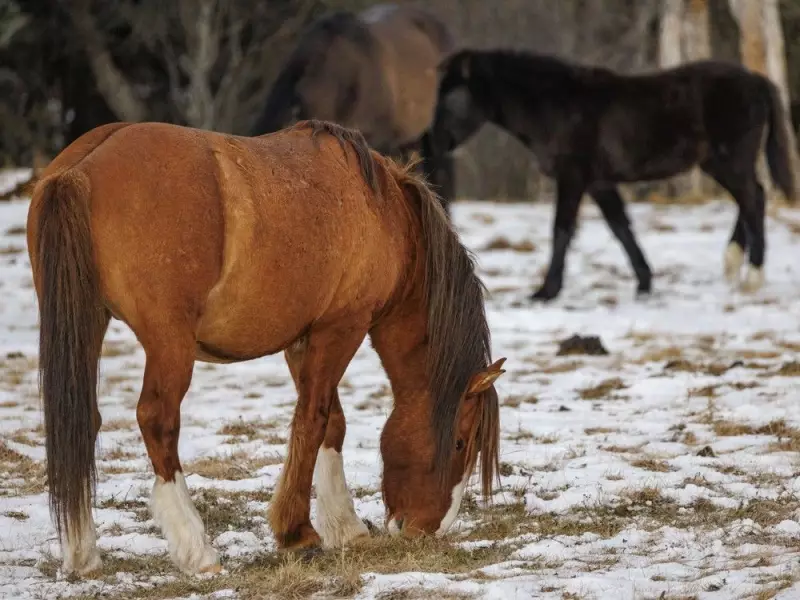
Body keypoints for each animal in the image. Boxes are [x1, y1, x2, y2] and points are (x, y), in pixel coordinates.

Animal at [27, 119, 504, 576]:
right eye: (460, 442)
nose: (427, 529)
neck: (381, 208)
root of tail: (79, 170)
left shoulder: (303, 338)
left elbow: (332, 422)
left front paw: (343, 526)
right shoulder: (341, 328)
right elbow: (313, 419)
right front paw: (297, 532)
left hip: (89, 322)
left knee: (81, 419)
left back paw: (82, 554)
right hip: (168, 344)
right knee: (156, 421)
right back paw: (197, 550)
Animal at [430, 49, 797, 301]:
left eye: (450, 97)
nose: (430, 141)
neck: (557, 106)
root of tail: (756, 80)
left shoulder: (573, 177)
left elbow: (562, 229)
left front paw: (546, 291)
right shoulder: (599, 183)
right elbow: (621, 228)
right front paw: (644, 283)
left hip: (729, 160)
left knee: (753, 199)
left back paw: (752, 276)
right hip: (719, 164)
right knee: (749, 201)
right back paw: (732, 263)